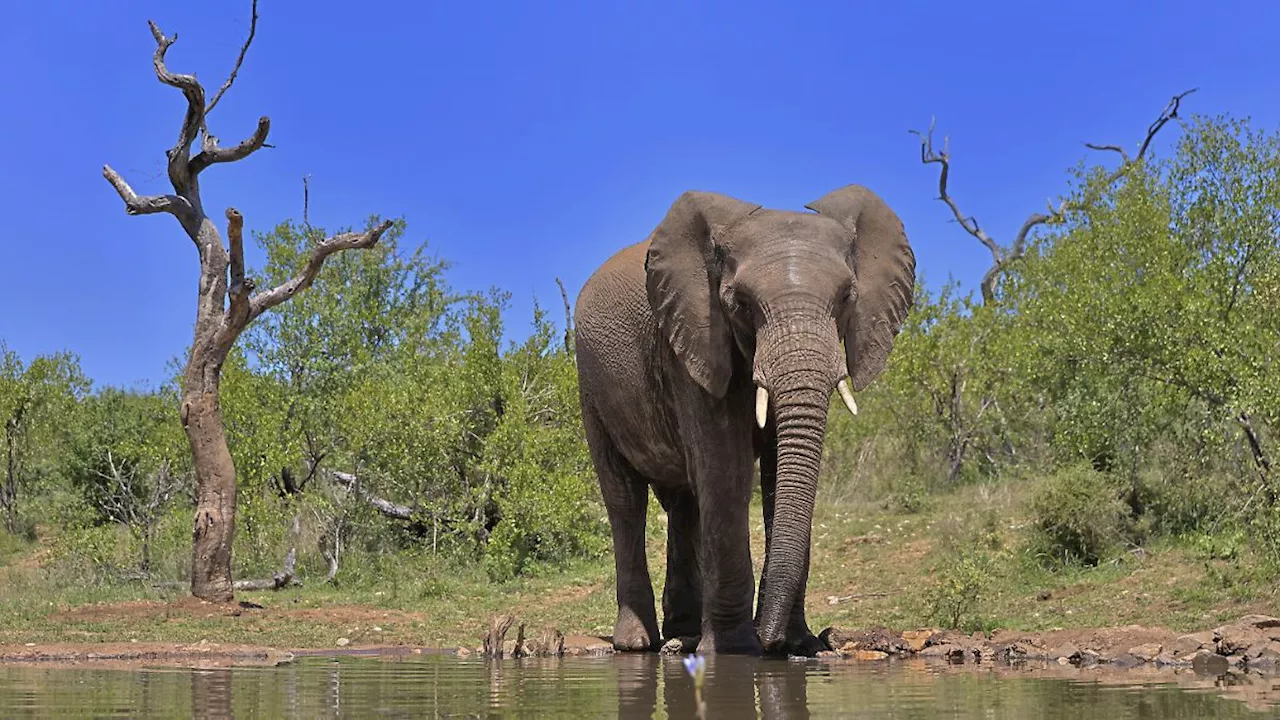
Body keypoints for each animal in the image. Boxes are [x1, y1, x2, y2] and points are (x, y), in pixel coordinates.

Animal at [576, 183, 916, 650]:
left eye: (847, 297)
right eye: (740, 303)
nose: (769, 639)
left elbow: (775, 474)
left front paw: (796, 645)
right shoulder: (692, 340)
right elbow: (727, 469)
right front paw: (735, 650)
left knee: (683, 503)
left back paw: (682, 632)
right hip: (590, 384)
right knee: (625, 497)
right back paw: (637, 643)